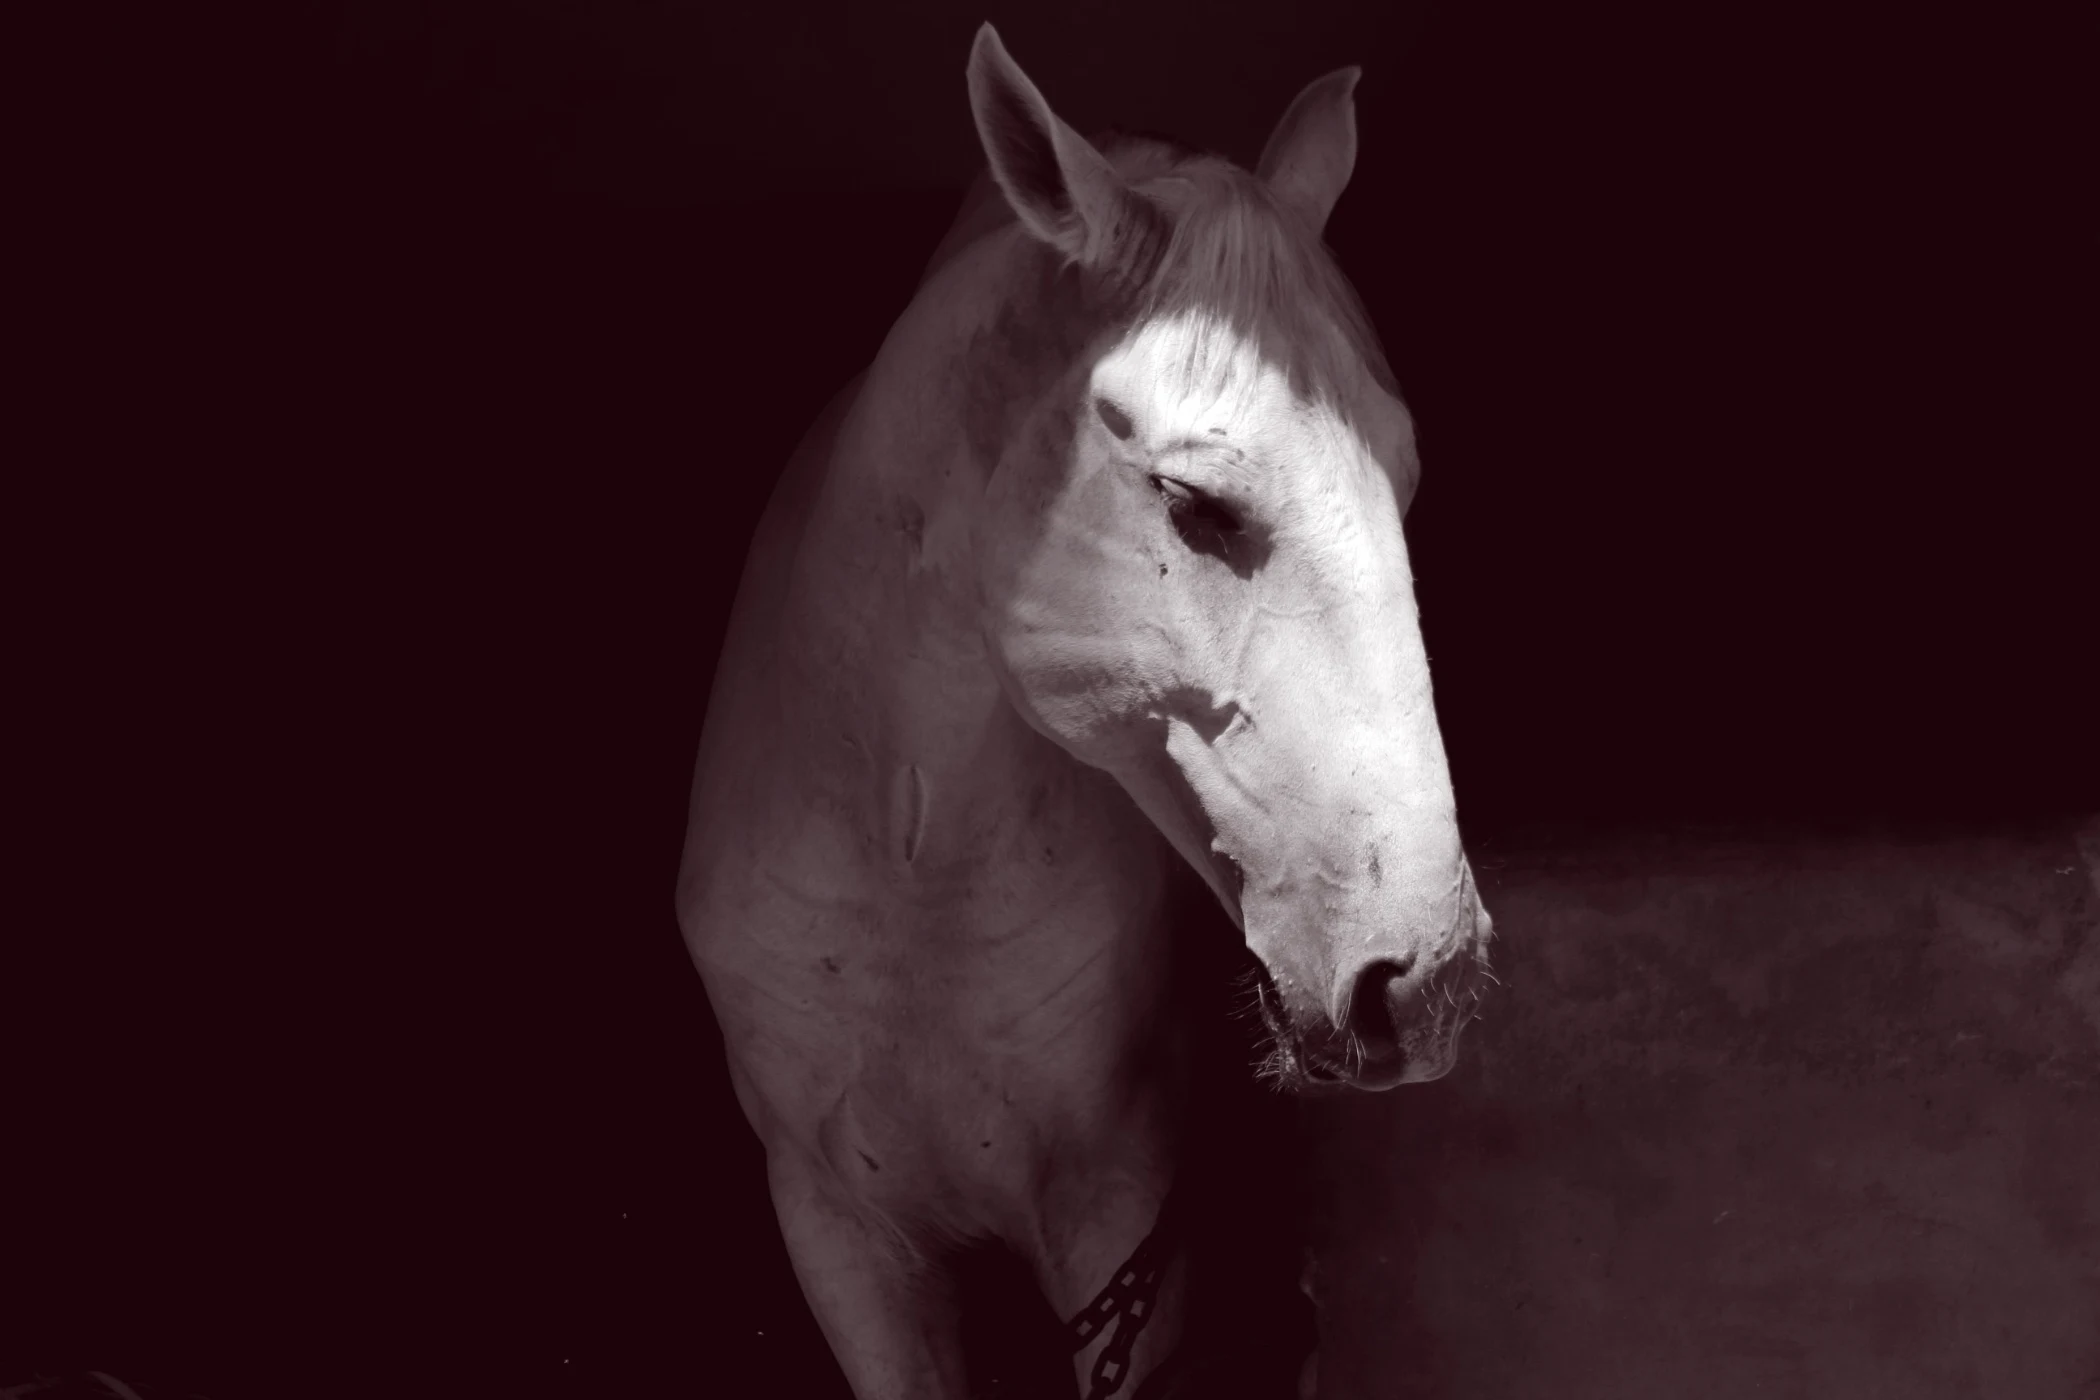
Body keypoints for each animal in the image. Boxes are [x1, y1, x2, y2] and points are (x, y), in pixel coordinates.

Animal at [675, 24, 1496, 1399]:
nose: (1426, 976)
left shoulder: (1117, 1217)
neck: (912, 868)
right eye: (1193, 502)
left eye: (1407, 481)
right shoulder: (841, 1234)